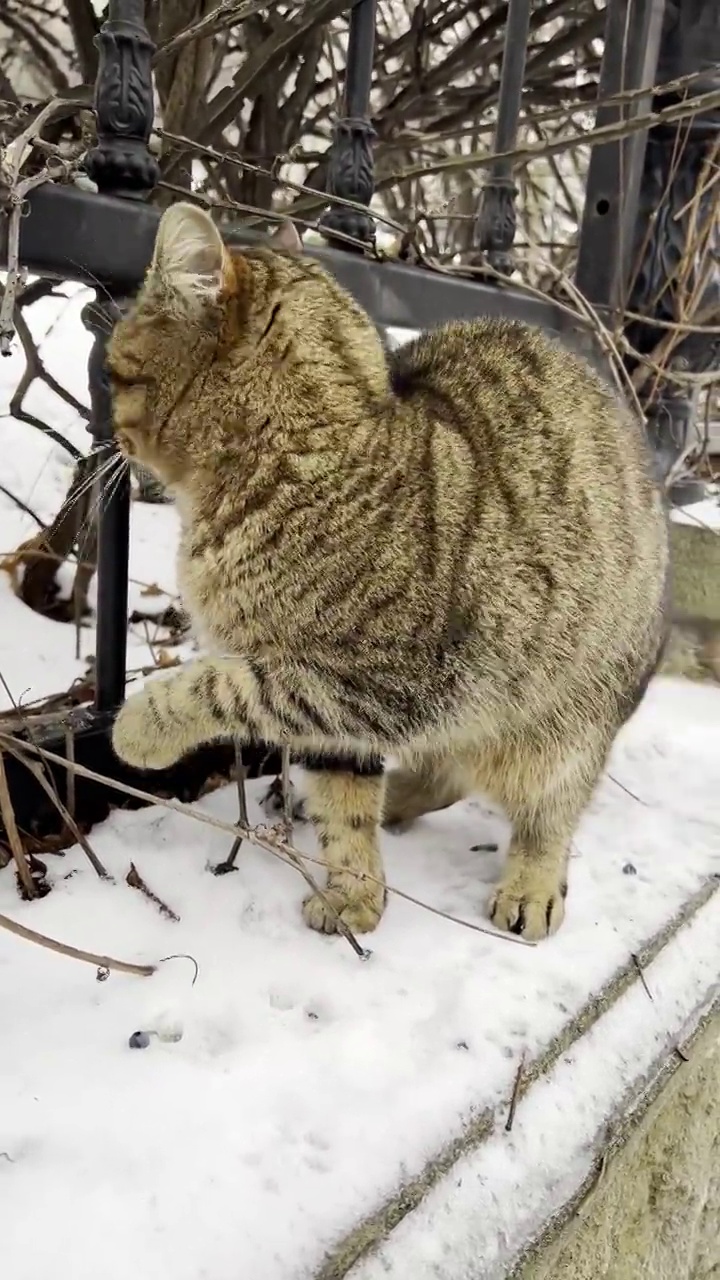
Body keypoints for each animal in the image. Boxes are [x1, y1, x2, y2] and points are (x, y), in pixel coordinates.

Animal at [107, 199, 666, 942]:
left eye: (113, 371)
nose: (109, 432)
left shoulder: (379, 686)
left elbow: (220, 684)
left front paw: (139, 728)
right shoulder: (348, 721)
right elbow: (343, 806)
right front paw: (355, 894)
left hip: (560, 724)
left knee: (548, 812)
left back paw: (531, 883)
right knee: (447, 774)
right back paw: (393, 800)